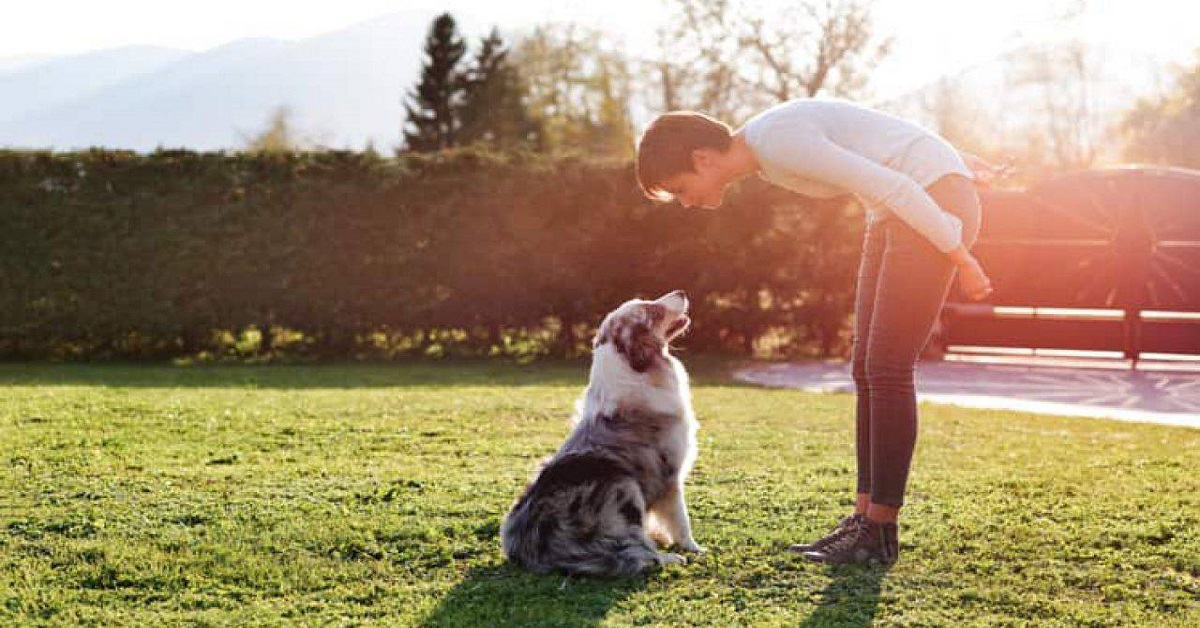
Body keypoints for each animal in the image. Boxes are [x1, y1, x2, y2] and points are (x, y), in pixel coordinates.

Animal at [499, 292, 700, 578]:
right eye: (653, 311)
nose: (681, 293)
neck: (634, 366)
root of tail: (530, 550)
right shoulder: (670, 474)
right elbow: (681, 519)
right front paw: (693, 548)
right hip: (623, 484)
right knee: (634, 549)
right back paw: (669, 557)